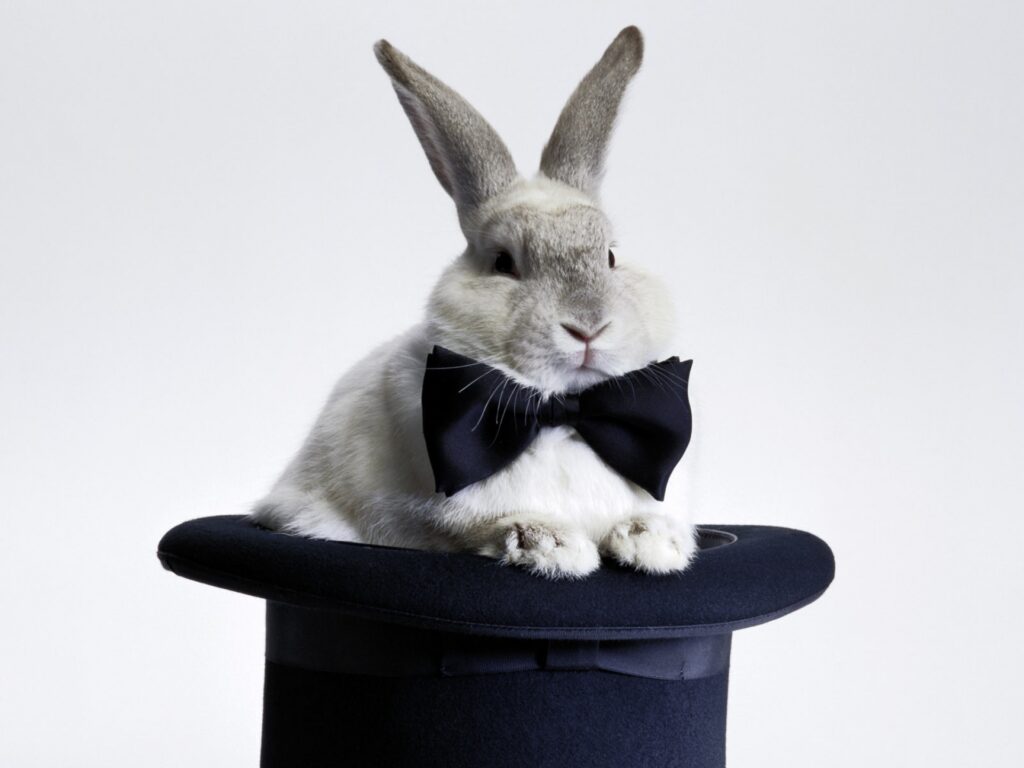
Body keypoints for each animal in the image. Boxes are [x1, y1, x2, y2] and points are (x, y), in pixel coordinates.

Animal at [251, 26, 697, 579]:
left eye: (611, 255)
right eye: (504, 262)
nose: (589, 327)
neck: (566, 416)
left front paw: (652, 543)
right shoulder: (415, 516)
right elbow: (475, 526)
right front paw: (555, 547)